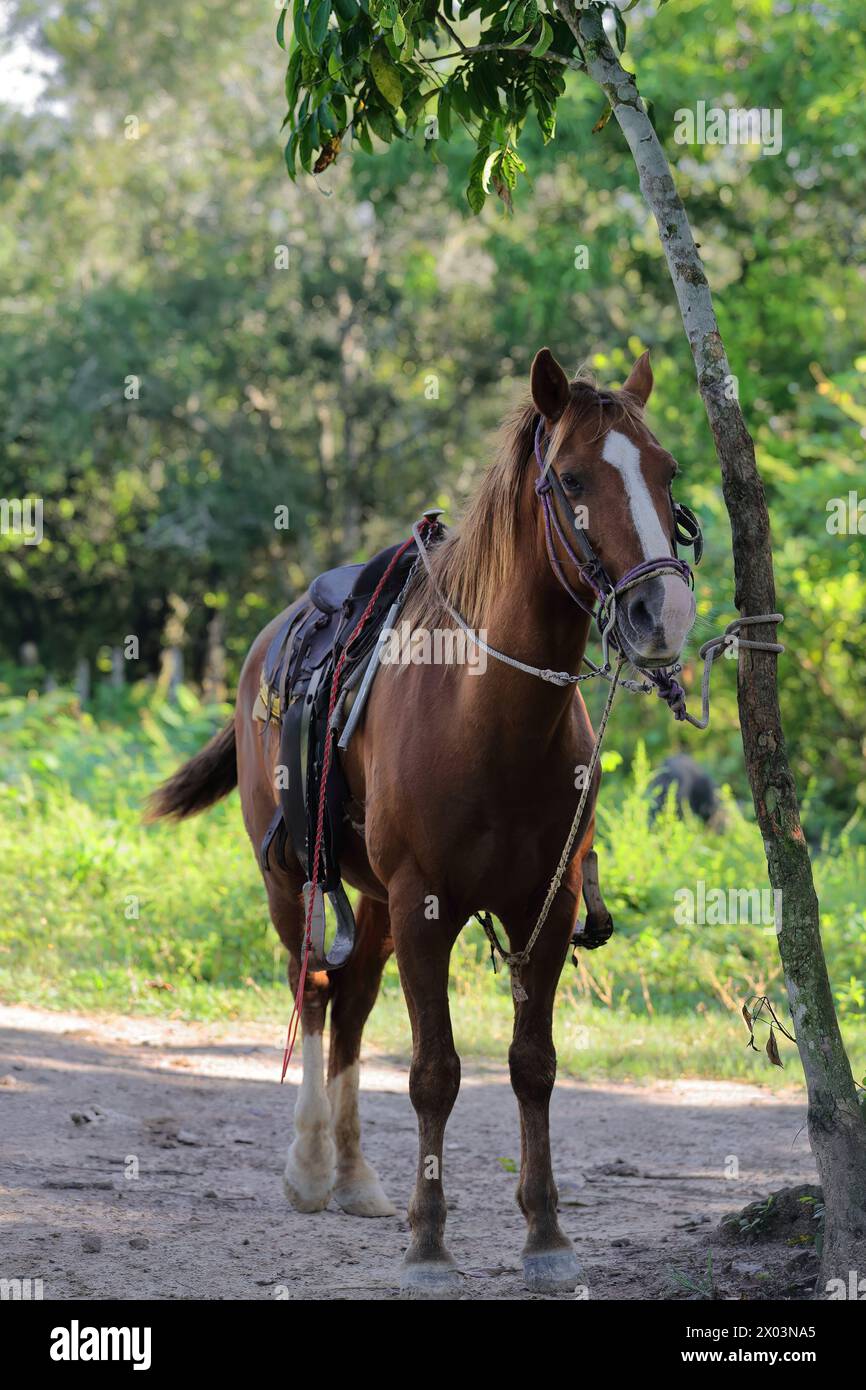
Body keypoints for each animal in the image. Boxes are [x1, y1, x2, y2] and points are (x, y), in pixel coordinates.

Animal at [147, 344, 697, 1289]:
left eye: (666, 473)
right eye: (574, 477)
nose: (662, 614)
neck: (488, 710)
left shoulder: (544, 909)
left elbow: (532, 1065)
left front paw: (546, 1236)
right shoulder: (424, 904)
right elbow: (435, 1071)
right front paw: (429, 1245)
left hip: (369, 901)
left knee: (354, 1005)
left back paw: (357, 1177)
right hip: (293, 884)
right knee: (315, 991)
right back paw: (310, 1167)